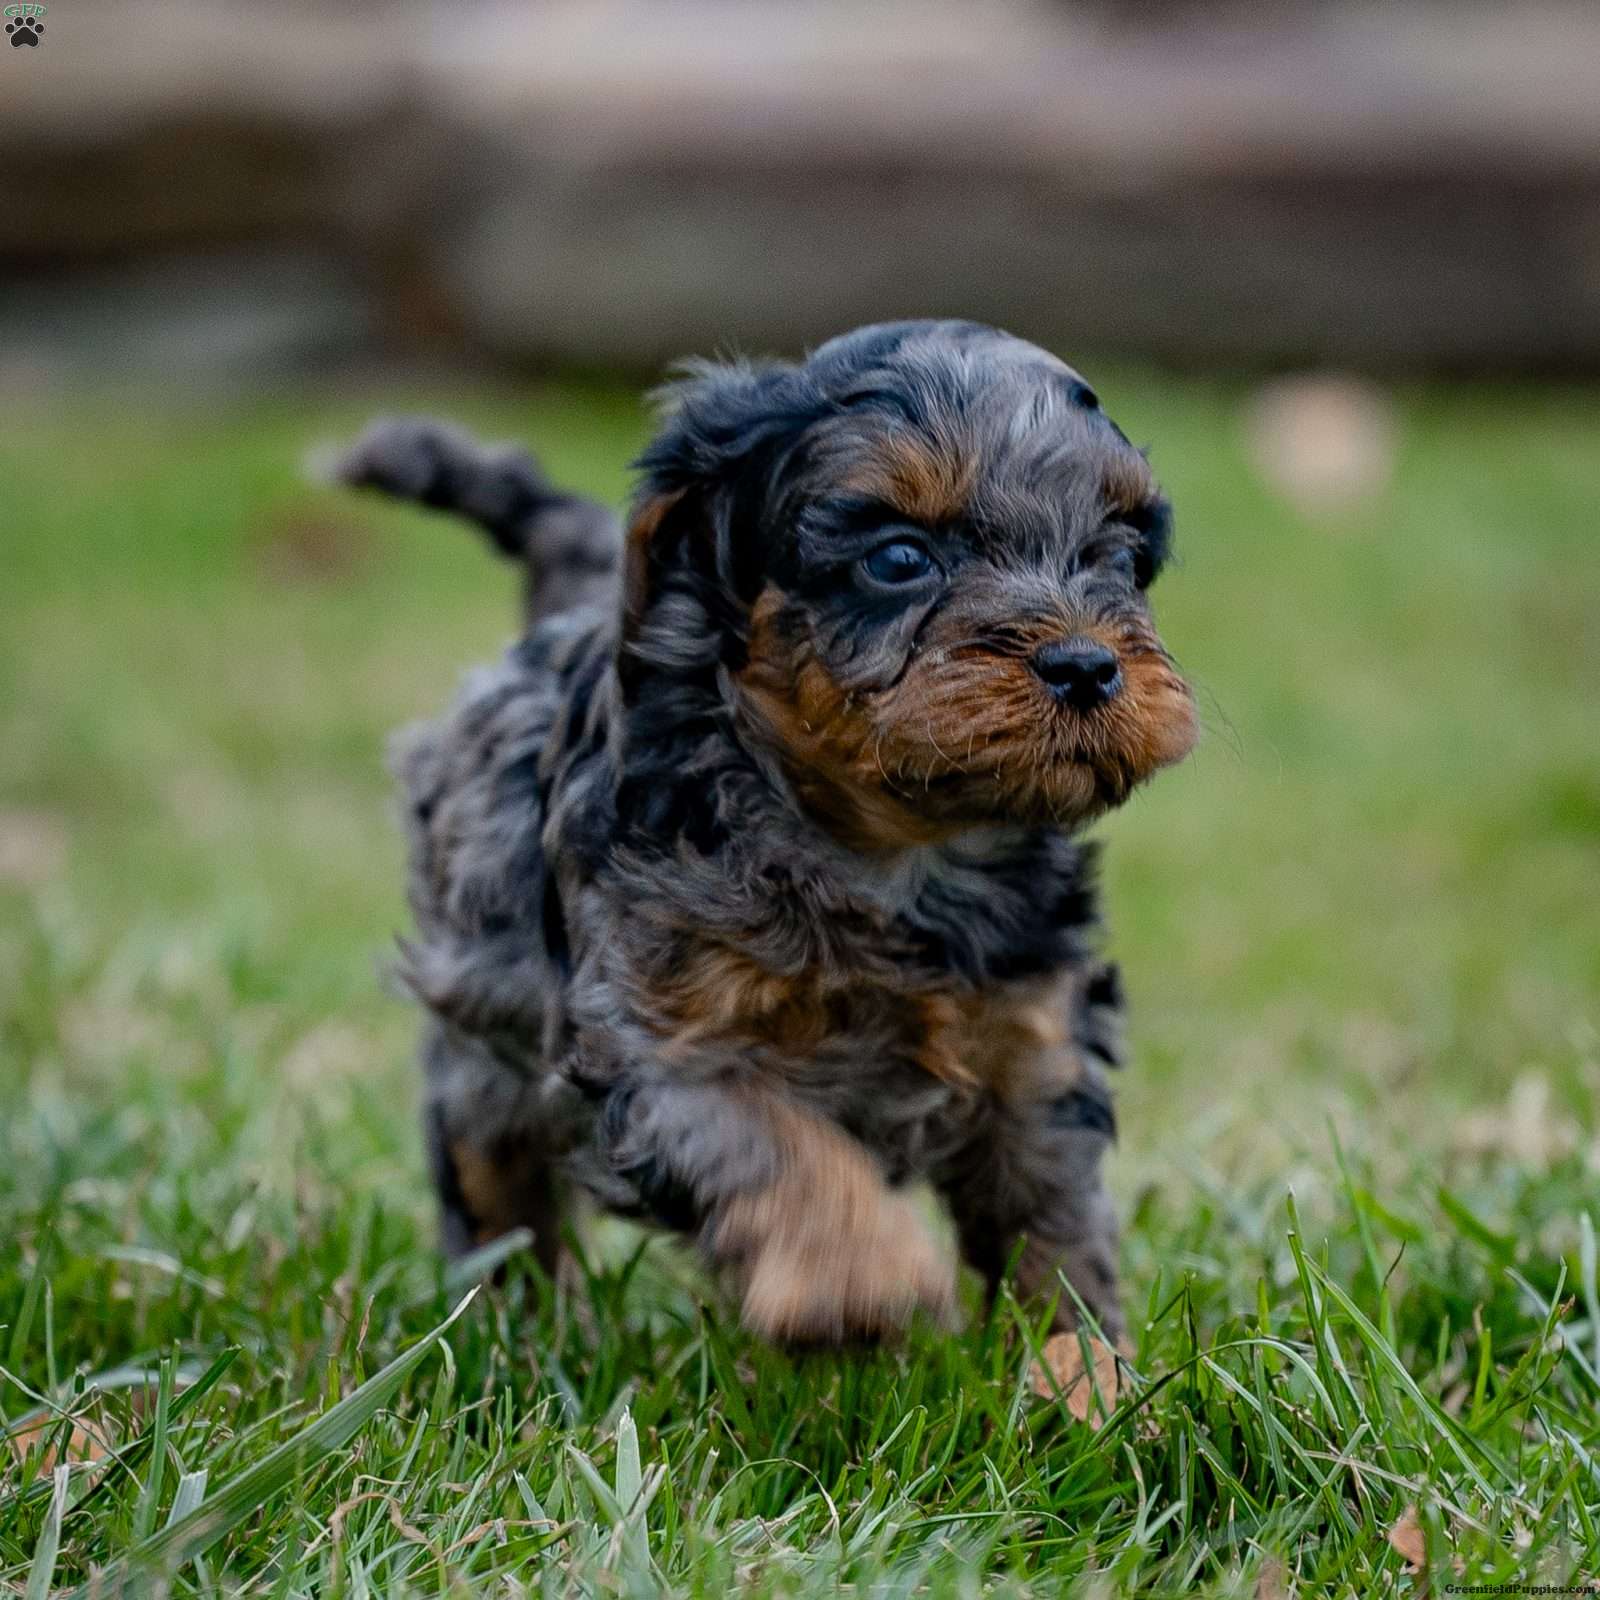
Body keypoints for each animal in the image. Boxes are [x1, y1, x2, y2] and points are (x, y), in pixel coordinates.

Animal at [340, 318, 1203, 1344]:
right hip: (484, 1022)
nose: (1086, 666)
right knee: (490, 1168)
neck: (888, 856)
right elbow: (777, 1145)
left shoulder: (1036, 1052)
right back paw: (519, 1322)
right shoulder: (663, 1040)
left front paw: (1082, 1374)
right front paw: (861, 1279)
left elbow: (1056, 1235)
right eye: (899, 558)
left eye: (1118, 557)